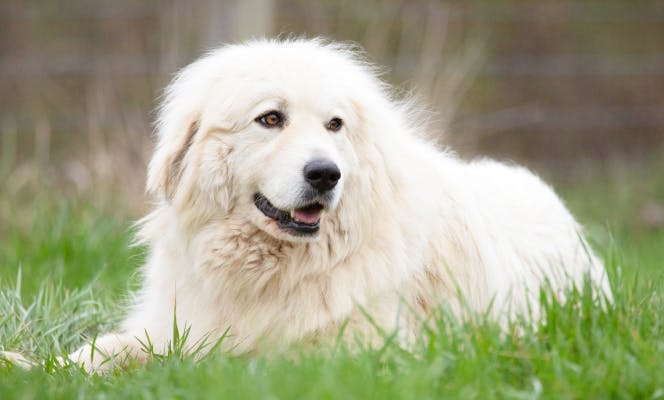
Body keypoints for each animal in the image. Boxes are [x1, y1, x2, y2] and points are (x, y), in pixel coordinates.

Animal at [2, 38, 612, 372]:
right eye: (271, 118)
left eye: (334, 125)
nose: (325, 173)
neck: (271, 271)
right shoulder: (174, 321)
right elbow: (101, 351)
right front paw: (30, 367)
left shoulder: (358, 349)